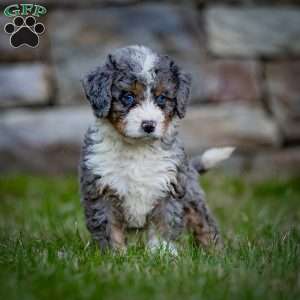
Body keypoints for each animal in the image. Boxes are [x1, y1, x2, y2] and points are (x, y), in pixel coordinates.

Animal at [80, 45, 234, 255]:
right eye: (128, 97)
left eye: (161, 98)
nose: (148, 125)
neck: (137, 150)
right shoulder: (101, 191)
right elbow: (109, 229)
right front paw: (115, 255)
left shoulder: (167, 188)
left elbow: (164, 226)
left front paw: (164, 254)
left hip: (192, 197)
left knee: (205, 225)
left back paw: (216, 253)